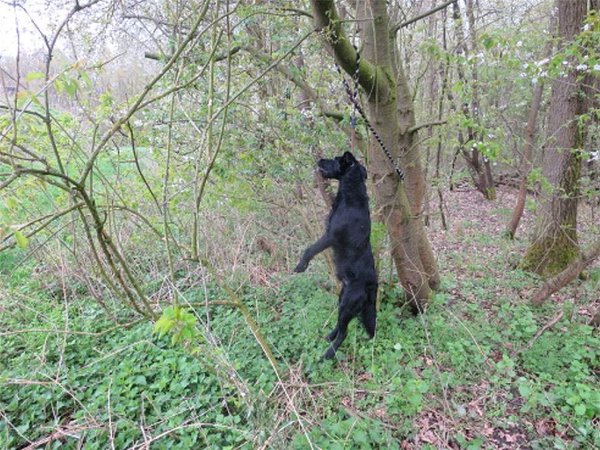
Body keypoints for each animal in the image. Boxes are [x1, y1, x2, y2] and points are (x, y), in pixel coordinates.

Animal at [294, 151, 378, 358]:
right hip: (342, 299)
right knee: (341, 327)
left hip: (347, 303)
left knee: (344, 332)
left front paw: (301, 266)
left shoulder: (330, 235)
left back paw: (328, 354)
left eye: (334, 159)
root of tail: (372, 285)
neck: (351, 195)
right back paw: (330, 336)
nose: (319, 159)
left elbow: (310, 249)